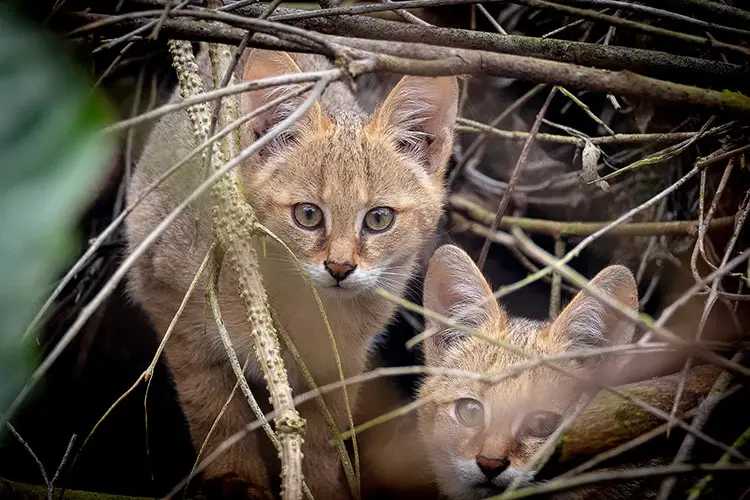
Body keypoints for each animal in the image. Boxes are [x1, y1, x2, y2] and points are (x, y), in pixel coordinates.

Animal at [125, 47, 458, 500]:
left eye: (379, 219)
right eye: (308, 214)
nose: (339, 268)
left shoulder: (337, 367)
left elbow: (320, 440)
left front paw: (317, 486)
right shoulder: (175, 312)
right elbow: (213, 411)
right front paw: (235, 478)